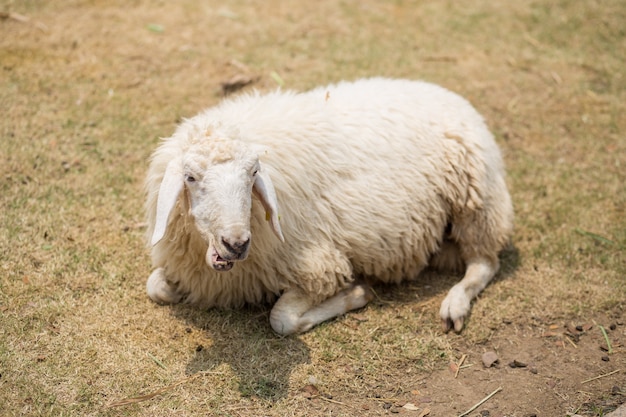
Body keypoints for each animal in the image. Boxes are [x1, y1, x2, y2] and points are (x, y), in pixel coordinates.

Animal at [145, 77, 512, 334]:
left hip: (477, 203)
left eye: (253, 174)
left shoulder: (318, 264)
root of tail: (452, 96)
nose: (236, 244)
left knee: (484, 264)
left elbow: (282, 320)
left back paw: (455, 305)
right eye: (190, 177)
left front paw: (357, 294)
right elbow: (155, 287)